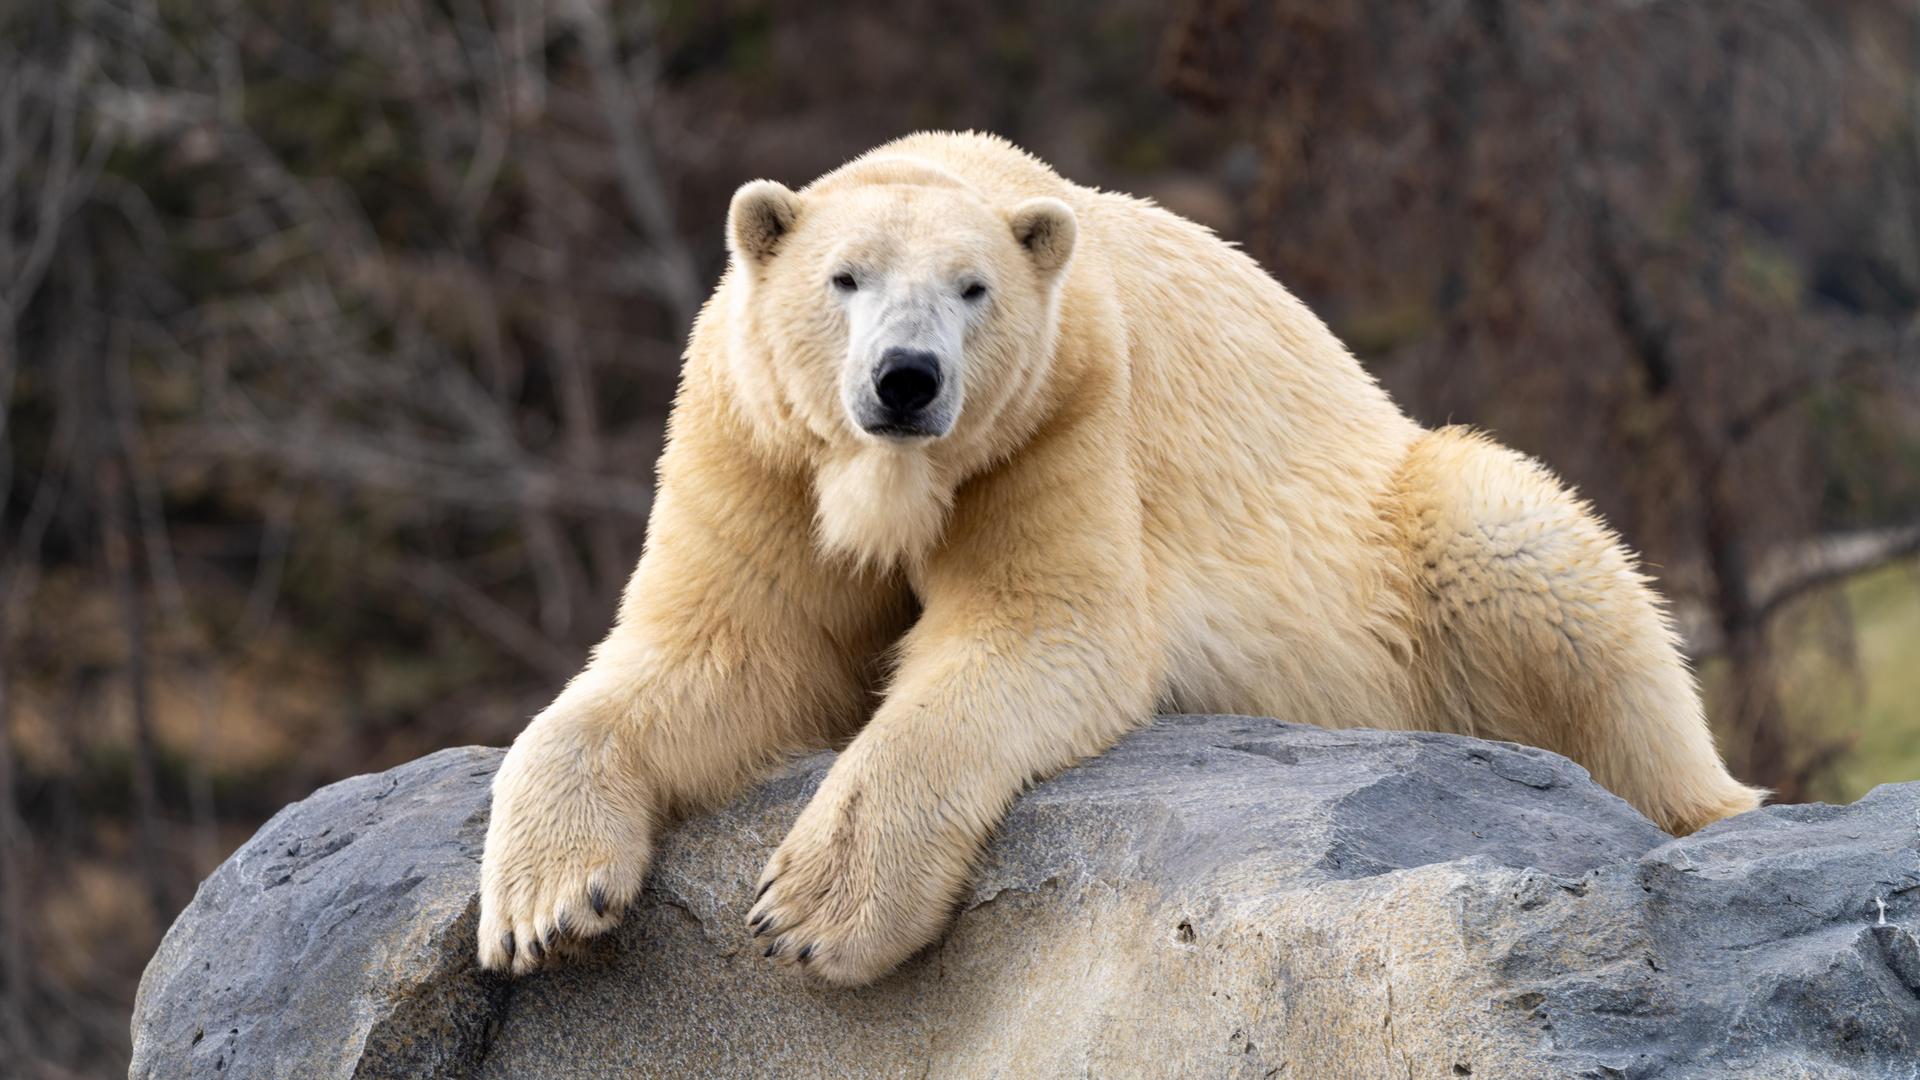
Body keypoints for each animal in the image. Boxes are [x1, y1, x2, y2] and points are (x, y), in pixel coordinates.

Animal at [477, 132, 1765, 984]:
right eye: (842, 279)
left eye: (973, 290)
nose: (907, 379)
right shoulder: (756, 442)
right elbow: (721, 651)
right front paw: (544, 903)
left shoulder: (1060, 417)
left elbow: (1041, 633)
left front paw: (813, 909)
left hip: (1411, 516)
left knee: (1530, 557)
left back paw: (1710, 810)